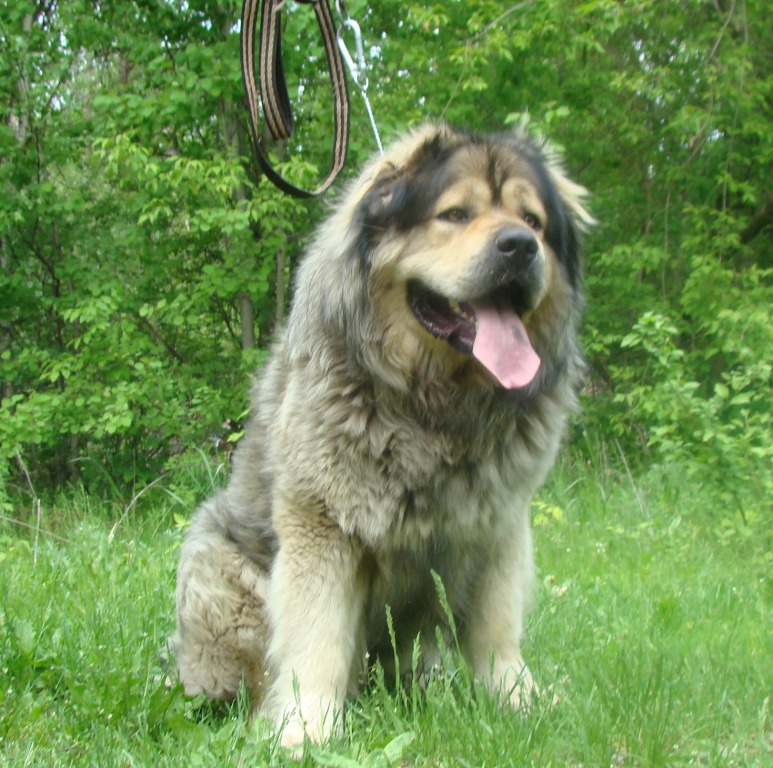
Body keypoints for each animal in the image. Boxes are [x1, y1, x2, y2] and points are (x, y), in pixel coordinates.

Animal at [172, 123, 593, 747]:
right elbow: (316, 637)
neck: (435, 404)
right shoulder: (322, 524)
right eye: (455, 214)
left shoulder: (498, 525)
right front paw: (305, 731)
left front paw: (520, 701)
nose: (520, 246)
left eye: (533, 221)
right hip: (218, 572)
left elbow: (497, 631)